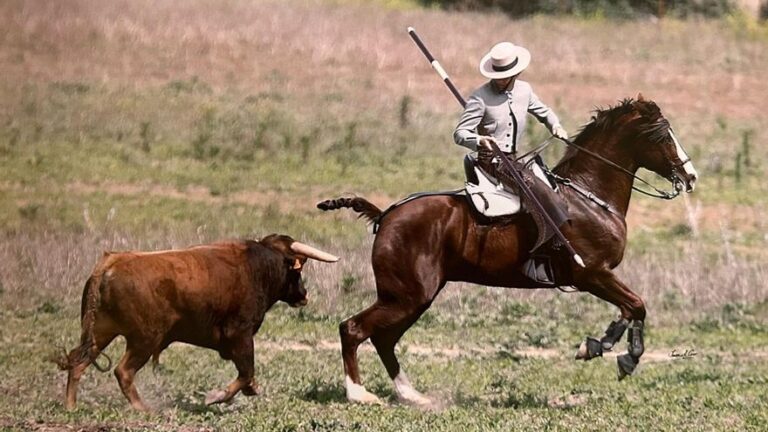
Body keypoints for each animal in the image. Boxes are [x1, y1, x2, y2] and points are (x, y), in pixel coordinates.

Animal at [317, 95, 698, 406]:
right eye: (662, 135)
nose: (690, 176)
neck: (588, 197)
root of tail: (385, 216)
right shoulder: (592, 274)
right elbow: (636, 305)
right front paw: (619, 355)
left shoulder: (599, 277)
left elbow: (630, 309)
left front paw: (602, 345)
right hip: (405, 296)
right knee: (353, 329)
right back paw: (359, 394)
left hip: (412, 298)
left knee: (384, 339)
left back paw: (412, 395)